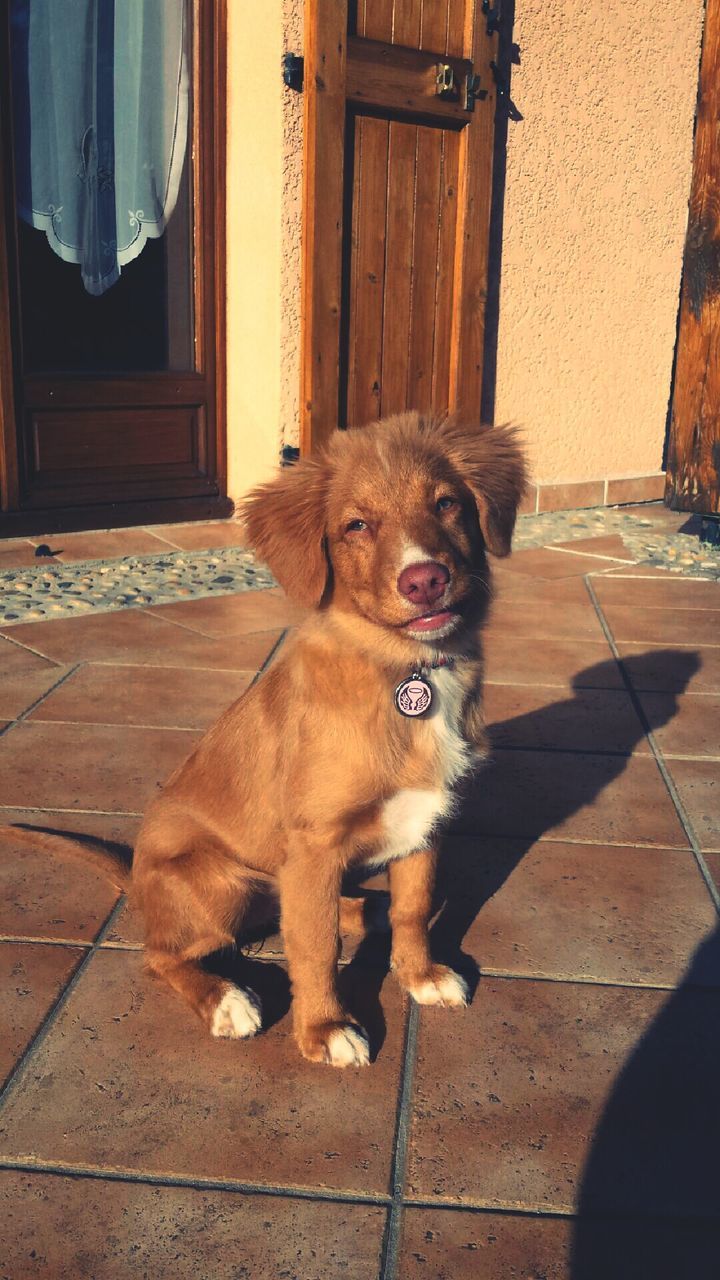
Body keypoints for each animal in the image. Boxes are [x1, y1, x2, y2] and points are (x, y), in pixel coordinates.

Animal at [4, 414, 520, 1064]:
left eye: (447, 504)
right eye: (356, 525)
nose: (425, 581)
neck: (407, 668)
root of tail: (138, 878)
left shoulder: (424, 819)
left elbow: (414, 906)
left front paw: (419, 974)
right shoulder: (316, 844)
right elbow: (316, 947)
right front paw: (324, 1027)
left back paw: (365, 909)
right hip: (220, 884)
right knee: (161, 955)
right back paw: (225, 999)